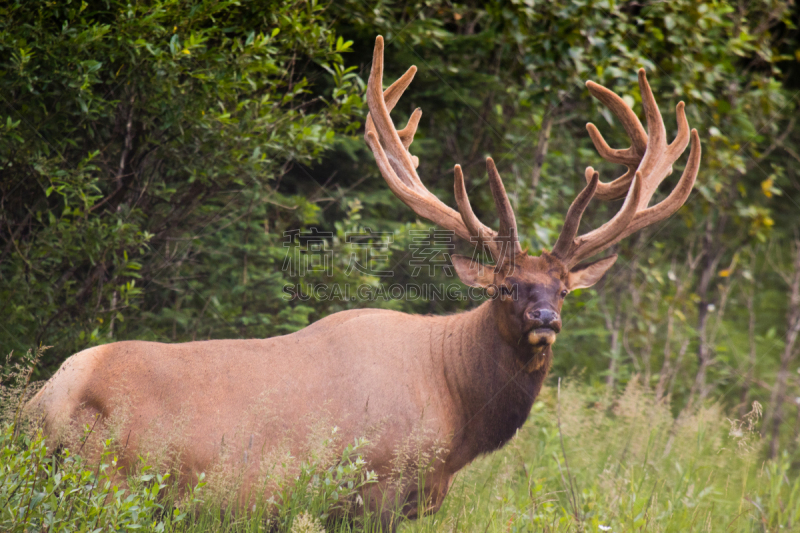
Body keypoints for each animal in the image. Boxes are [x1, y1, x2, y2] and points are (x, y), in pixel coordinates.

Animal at [26, 36, 700, 528]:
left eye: (563, 289)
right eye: (506, 287)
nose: (546, 321)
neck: (455, 409)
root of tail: (42, 405)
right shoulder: (369, 490)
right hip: (112, 483)